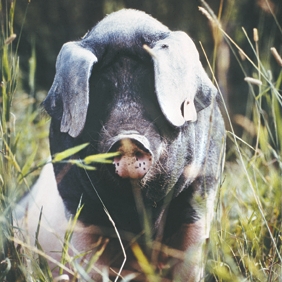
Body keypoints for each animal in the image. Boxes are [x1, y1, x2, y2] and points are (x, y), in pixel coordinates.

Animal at [16, 8, 226, 282]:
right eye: (100, 96)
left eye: (152, 94)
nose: (127, 139)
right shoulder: (76, 199)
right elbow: (91, 261)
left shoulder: (202, 186)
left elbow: (189, 260)